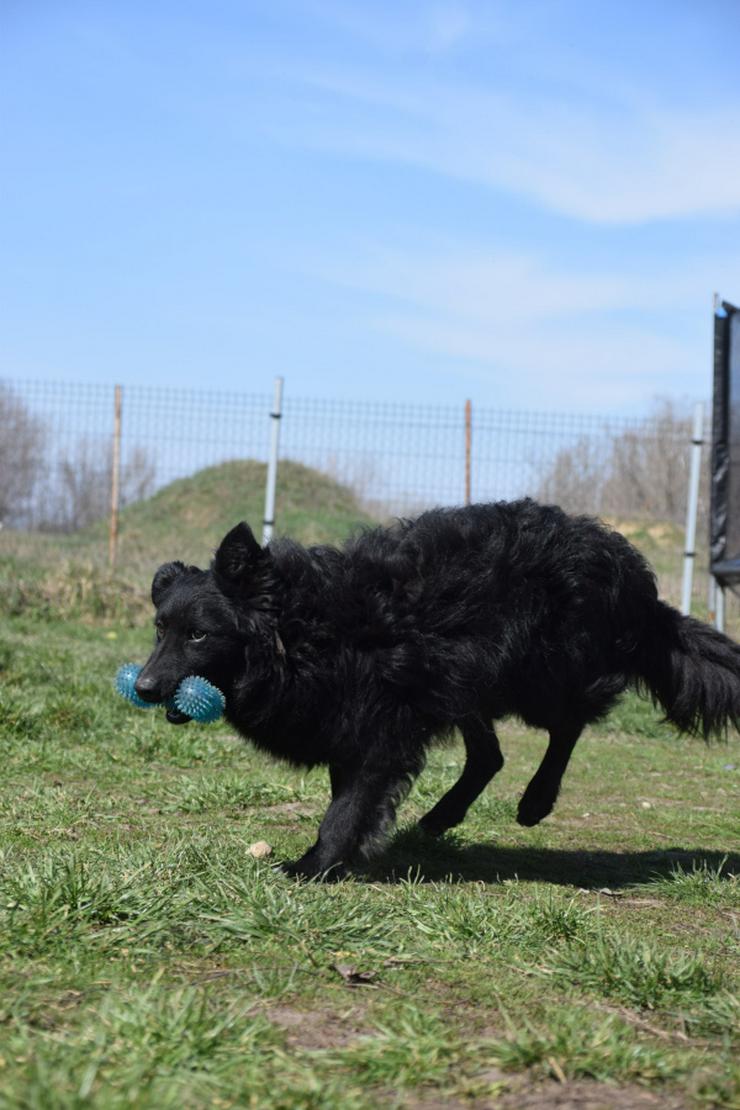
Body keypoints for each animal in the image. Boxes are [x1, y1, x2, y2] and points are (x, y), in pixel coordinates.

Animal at [134, 501, 740, 874]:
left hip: (538, 675)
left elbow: (345, 808)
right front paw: (342, 858)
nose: (143, 687)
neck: (301, 631)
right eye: (160, 629)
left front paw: (315, 866)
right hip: (463, 683)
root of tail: (628, 568)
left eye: (199, 634)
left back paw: (536, 801)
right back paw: (443, 816)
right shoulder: (351, 723)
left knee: (567, 724)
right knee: (491, 754)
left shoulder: (382, 730)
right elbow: (348, 795)